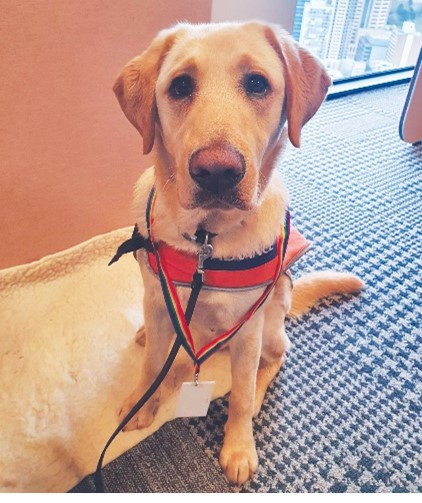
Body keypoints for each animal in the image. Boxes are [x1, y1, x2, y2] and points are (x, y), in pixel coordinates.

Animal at [113, 21, 362, 486]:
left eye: (257, 83)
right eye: (180, 86)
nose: (216, 171)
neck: (206, 240)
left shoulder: (248, 331)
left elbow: (242, 395)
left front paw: (239, 446)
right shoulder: (156, 300)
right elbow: (153, 362)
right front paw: (142, 401)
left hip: (270, 327)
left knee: (275, 361)